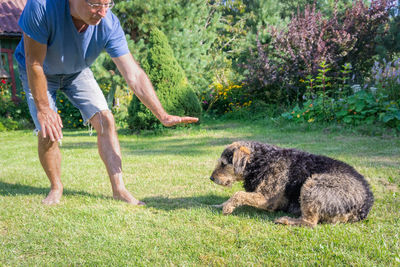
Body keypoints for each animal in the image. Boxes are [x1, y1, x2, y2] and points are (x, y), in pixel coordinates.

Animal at [211, 141, 374, 227]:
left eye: (224, 164)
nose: (211, 178)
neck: (261, 160)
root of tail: (365, 205)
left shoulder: (268, 199)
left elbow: (238, 194)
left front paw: (227, 207)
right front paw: (219, 205)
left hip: (312, 184)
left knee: (309, 222)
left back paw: (286, 220)